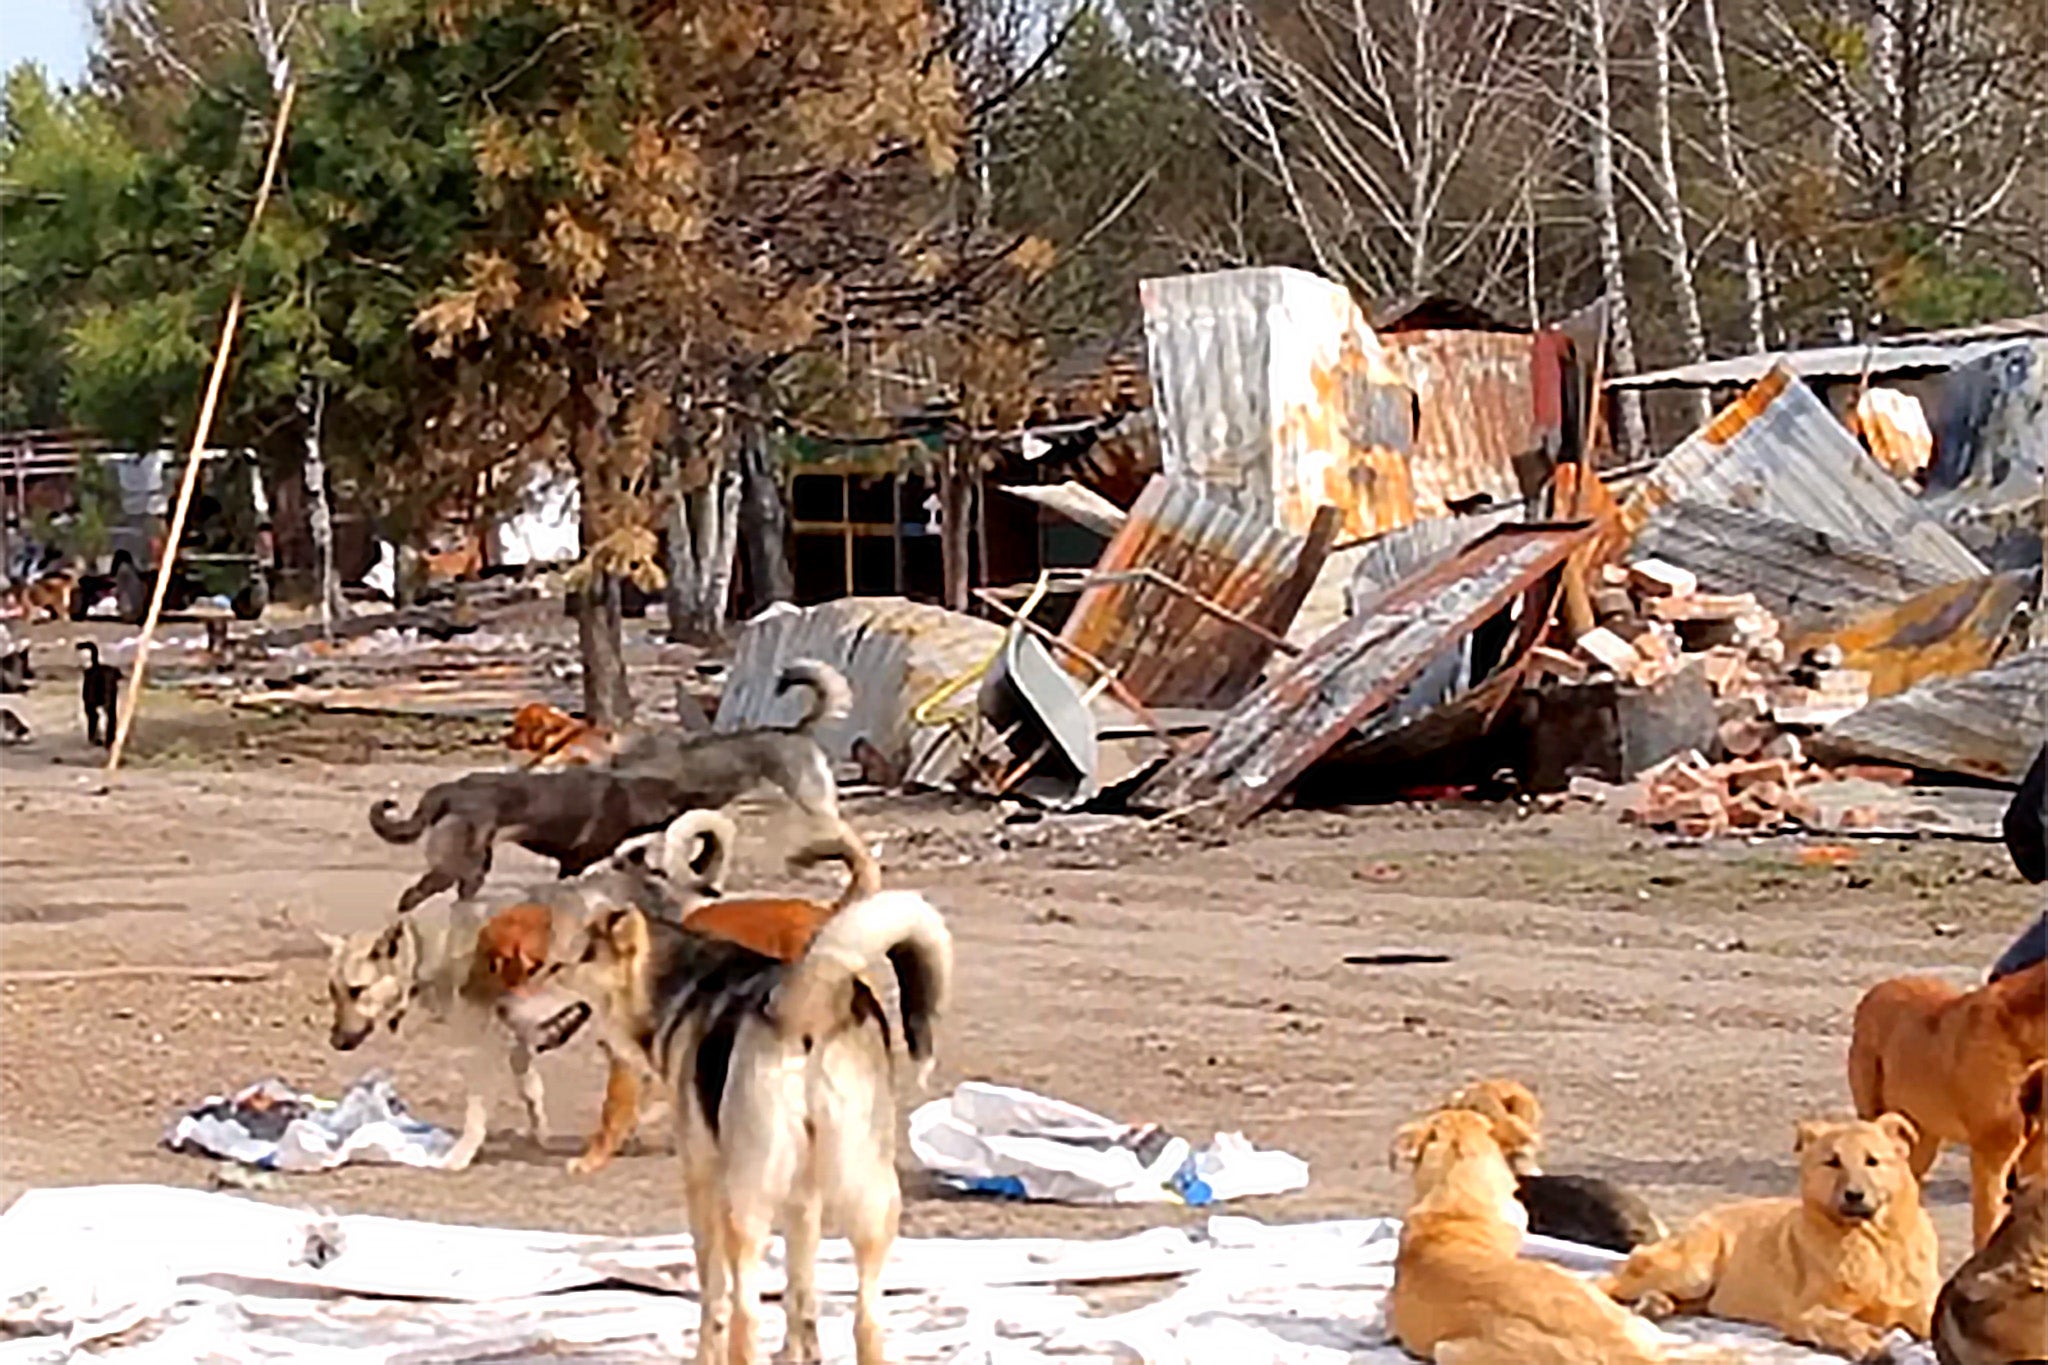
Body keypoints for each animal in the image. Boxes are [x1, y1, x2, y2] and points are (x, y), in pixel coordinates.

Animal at [524, 879, 946, 1358]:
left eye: (556, 966)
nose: (506, 1004)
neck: (678, 984)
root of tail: (811, 998)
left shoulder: (703, 1181)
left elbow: (714, 1297)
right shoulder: (804, 1196)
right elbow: (801, 1294)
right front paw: (798, 1355)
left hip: (745, 1202)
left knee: (746, 1311)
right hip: (869, 1198)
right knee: (867, 1319)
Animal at [1597, 1113, 1933, 1358]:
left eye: (1872, 1161)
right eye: (1832, 1162)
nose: (1854, 1195)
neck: (1874, 1243)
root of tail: (1707, 1214)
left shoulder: (1922, 1308)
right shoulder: (1802, 1313)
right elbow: (1837, 1323)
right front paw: (1867, 1343)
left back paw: (1655, 1304)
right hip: (1693, 1272)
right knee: (1613, 1279)